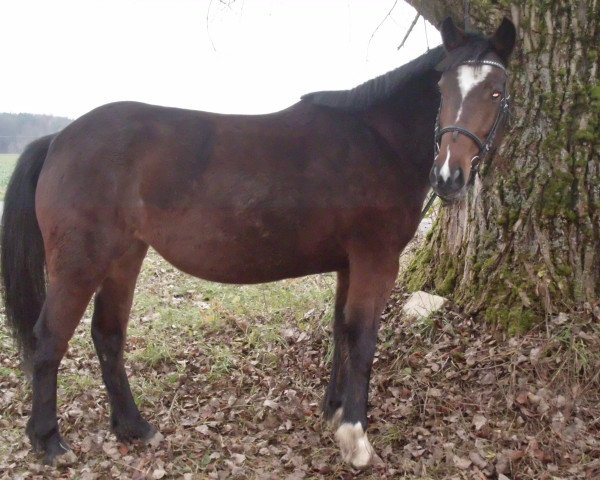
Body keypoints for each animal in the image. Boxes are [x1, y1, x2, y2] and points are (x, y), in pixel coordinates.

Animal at [1, 17, 516, 464]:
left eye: (495, 91)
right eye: (443, 89)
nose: (449, 177)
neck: (377, 138)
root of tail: (58, 138)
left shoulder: (348, 262)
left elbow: (340, 330)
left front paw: (332, 412)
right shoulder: (377, 259)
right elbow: (364, 337)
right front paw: (356, 436)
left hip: (125, 257)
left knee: (108, 335)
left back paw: (134, 427)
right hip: (79, 264)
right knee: (49, 340)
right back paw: (49, 441)